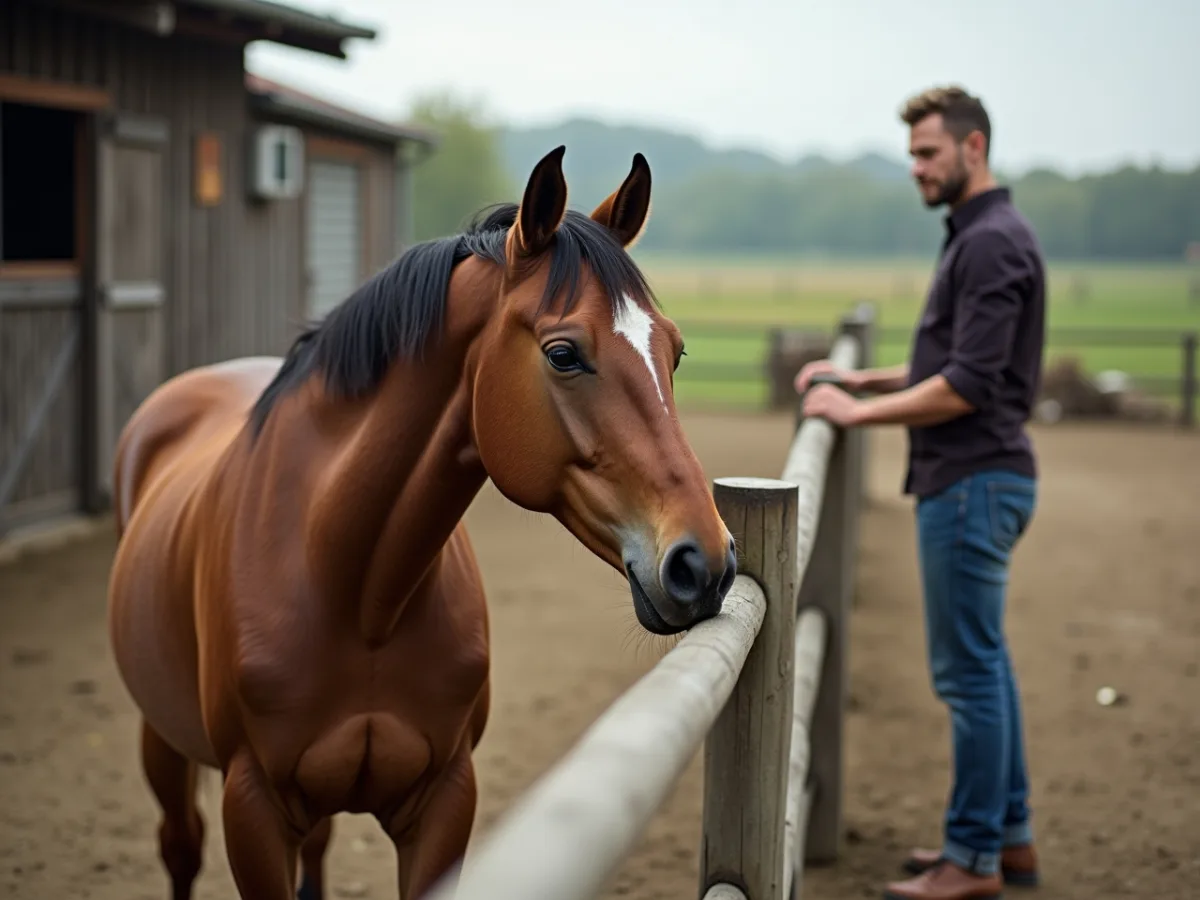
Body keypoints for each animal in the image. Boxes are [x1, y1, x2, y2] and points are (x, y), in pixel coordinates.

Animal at [105, 145, 738, 900]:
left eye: (674, 352)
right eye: (562, 353)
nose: (705, 563)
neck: (353, 590)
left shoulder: (443, 800)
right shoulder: (251, 809)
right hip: (162, 740)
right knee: (179, 845)